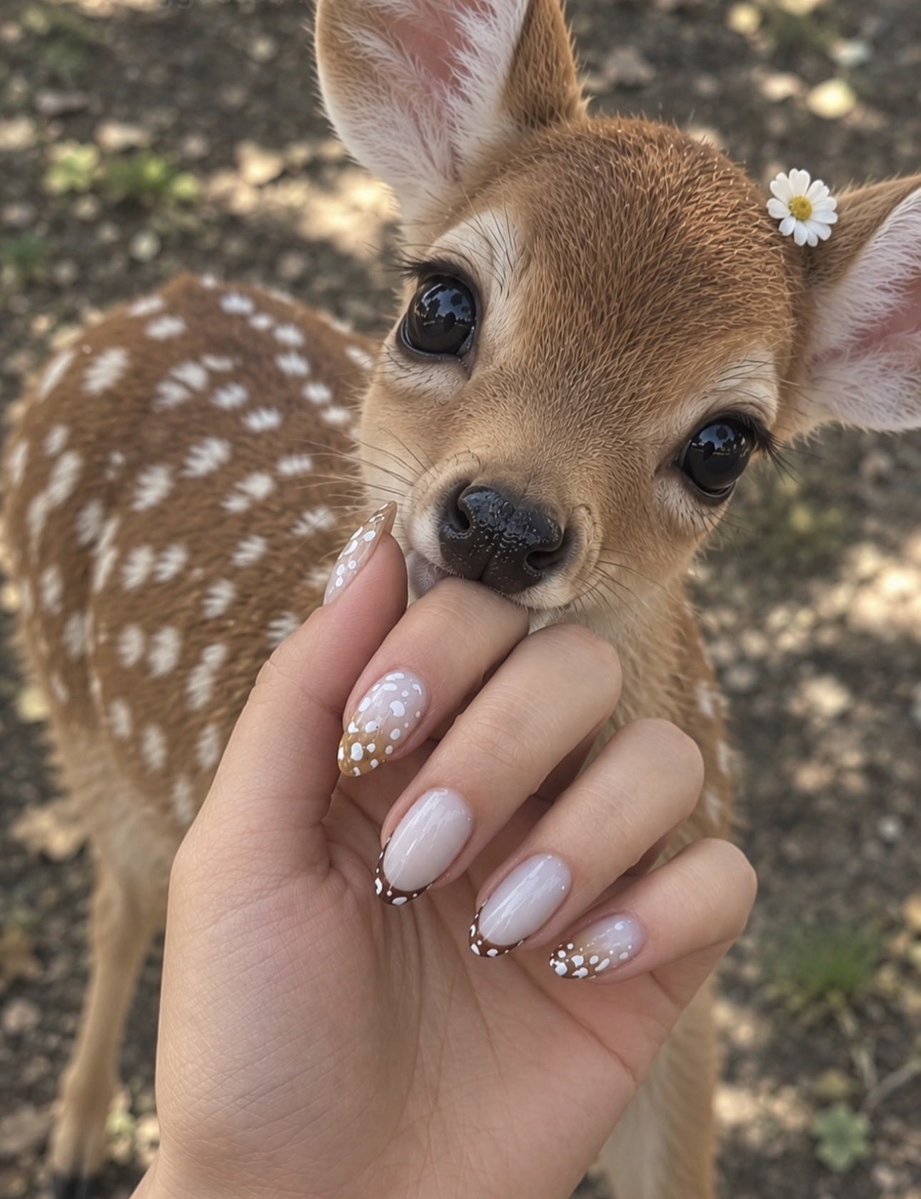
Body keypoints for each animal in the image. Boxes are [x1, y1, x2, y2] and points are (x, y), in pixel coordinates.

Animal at [3, 0, 920, 1196]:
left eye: (726, 444)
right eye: (440, 302)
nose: (506, 524)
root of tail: (150, 304)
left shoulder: (683, 999)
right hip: (81, 724)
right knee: (121, 899)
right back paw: (70, 1132)